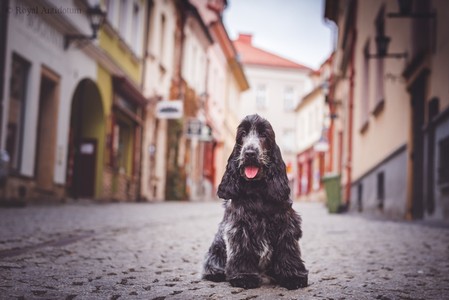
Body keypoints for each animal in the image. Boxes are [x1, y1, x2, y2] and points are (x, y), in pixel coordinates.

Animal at [201, 113, 306, 290]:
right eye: (242, 134)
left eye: (264, 135)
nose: (250, 153)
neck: (257, 191)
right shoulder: (239, 227)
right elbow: (242, 251)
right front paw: (244, 277)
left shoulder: (286, 224)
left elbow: (288, 250)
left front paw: (293, 276)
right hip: (217, 243)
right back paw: (215, 273)